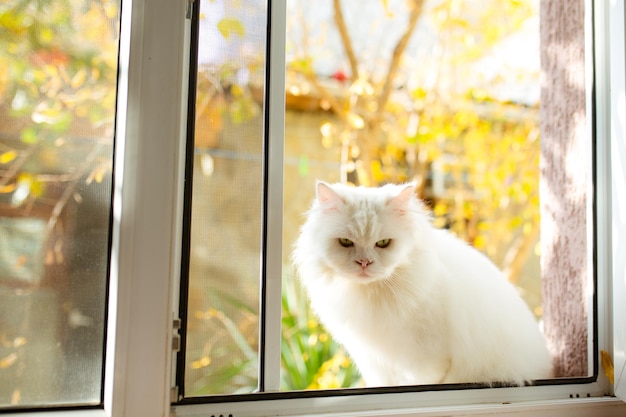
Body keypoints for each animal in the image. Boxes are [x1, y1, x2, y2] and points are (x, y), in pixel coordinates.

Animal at [292, 180, 552, 386]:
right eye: (345, 242)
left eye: (383, 243)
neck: (374, 297)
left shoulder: (426, 360)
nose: (364, 262)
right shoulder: (372, 361)